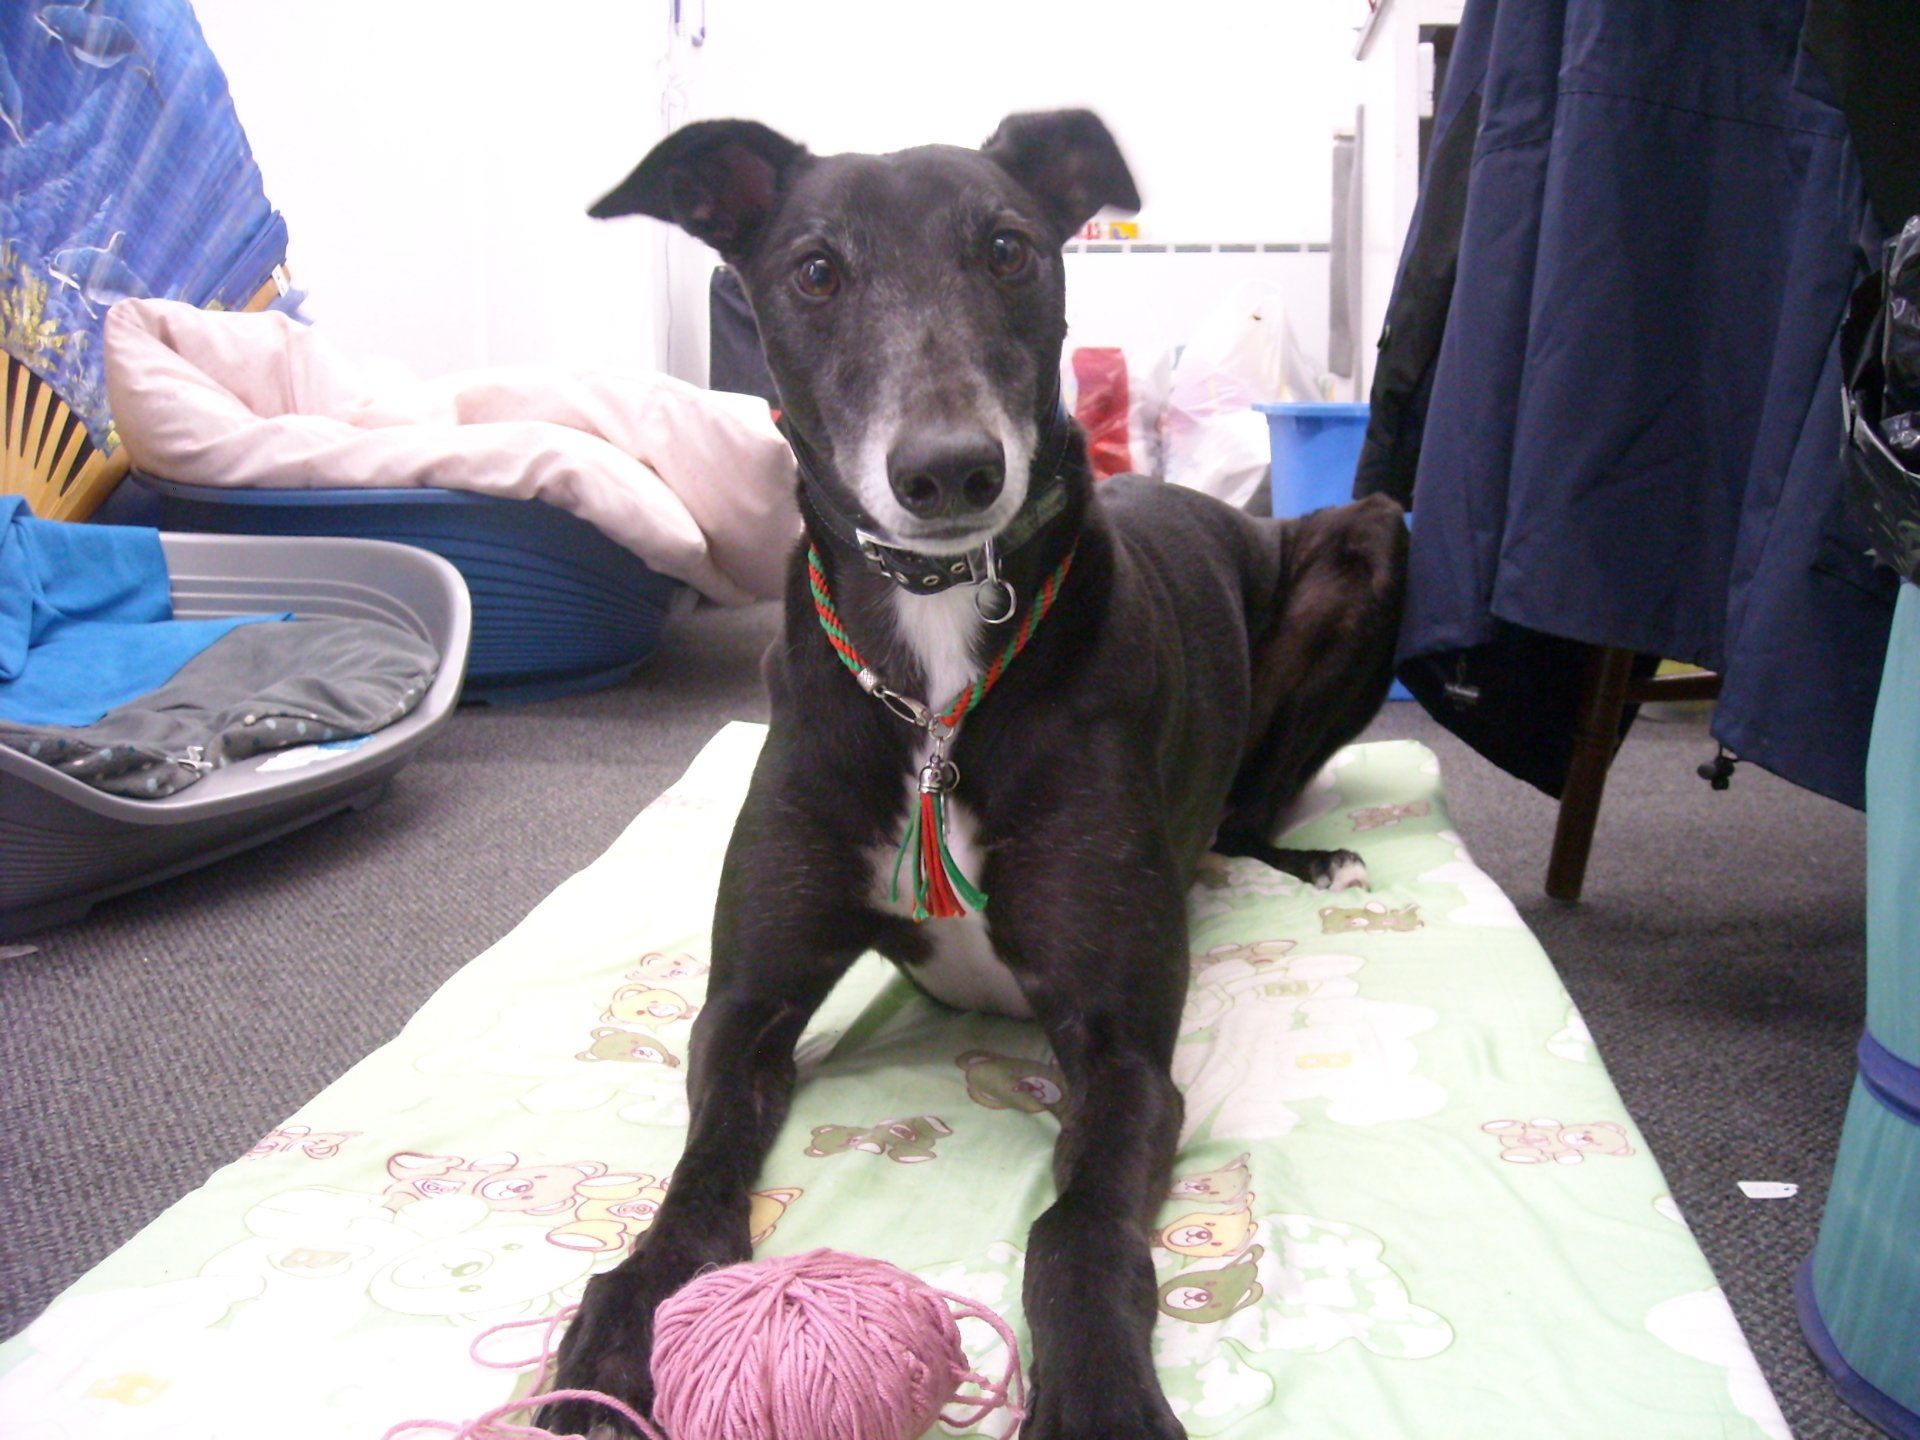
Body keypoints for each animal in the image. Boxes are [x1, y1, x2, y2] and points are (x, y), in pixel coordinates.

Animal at [540, 110, 1406, 1440]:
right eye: (815, 271)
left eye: (1008, 250)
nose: (949, 471)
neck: (940, 672)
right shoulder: (745, 1008)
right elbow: (693, 1179)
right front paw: (625, 1319)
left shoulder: (1122, 1051)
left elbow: (1076, 1229)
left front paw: (1099, 1394)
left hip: (1369, 541)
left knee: (1250, 806)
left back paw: (1312, 858)